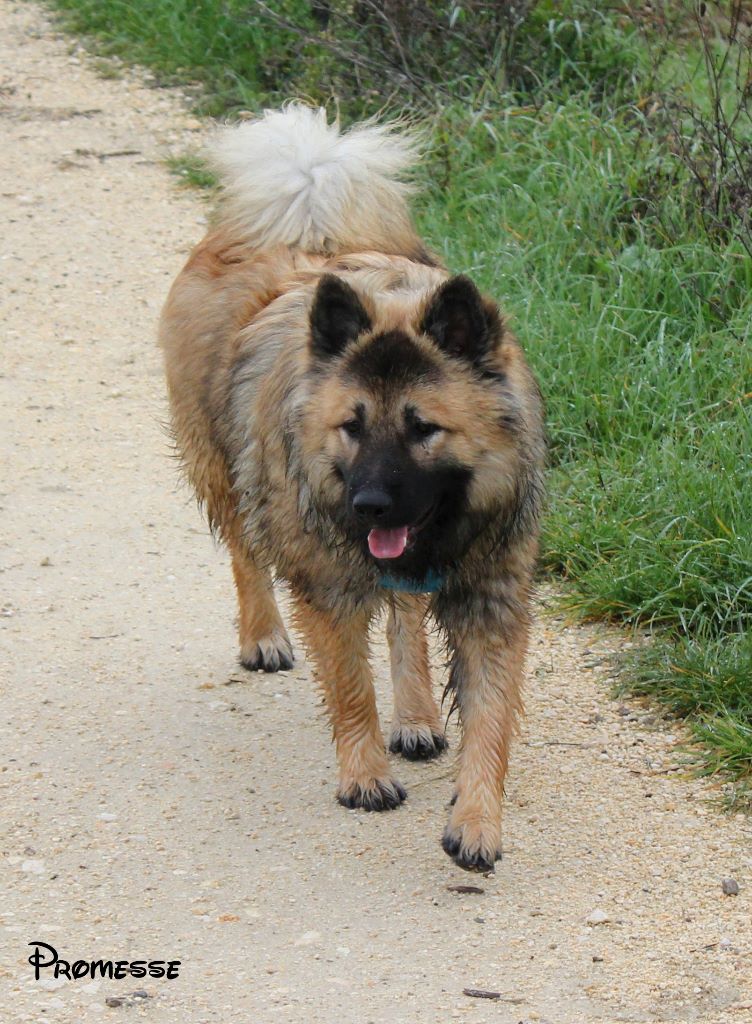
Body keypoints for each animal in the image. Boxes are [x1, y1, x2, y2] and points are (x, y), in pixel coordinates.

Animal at [161, 105, 545, 872]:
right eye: (352, 426)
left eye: (423, 428)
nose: (368, 504)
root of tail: (307, 234)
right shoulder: (328, 581)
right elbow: (349, 685)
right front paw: (365, 776)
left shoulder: (489, 594)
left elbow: (490, 717)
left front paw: (477, 820)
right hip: (225, 467)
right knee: (246, 552)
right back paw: (264, 637)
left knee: (404, 616)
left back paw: (418, 715)